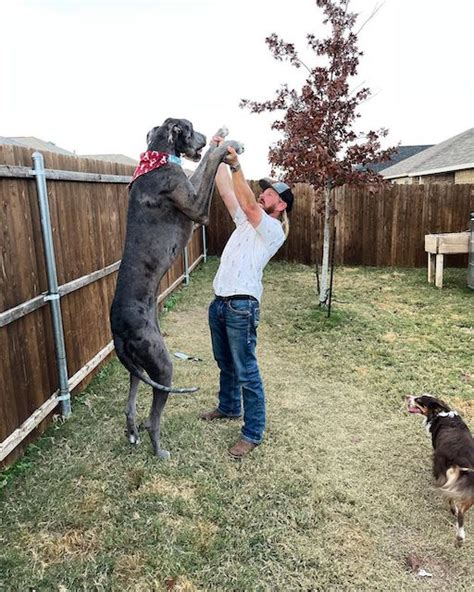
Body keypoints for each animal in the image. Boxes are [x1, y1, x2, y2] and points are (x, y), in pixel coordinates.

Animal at [110, 119, 244, 458]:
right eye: (191, 128)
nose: (203, 136)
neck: (157, 158)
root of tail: (117, 333)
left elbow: (204, 165)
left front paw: (222, 136)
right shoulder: (196, 206)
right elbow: (209, 161)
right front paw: (226, 145)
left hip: (138, 365)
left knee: (130, 406)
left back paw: (132, 434)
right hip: (162, 365)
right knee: (152, 419)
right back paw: (159, 450)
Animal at [408, 394, 474, 544]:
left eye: (419, 400)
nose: (407, 396)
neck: (441, 413)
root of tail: (461, 458)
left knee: (452, 500)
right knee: (461, 511)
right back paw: (460, 536)